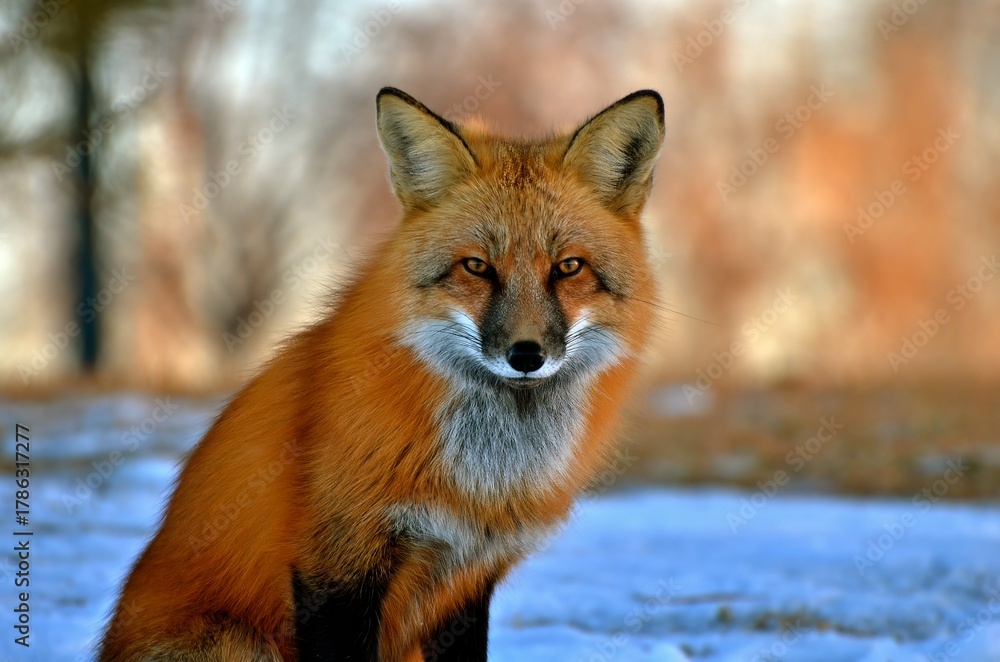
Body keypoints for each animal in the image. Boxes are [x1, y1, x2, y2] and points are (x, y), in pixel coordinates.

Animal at [99, 86, 664, 661]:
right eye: (476, 267)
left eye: (568, 267)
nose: (525, 355)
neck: (481, 479)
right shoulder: (334, 569)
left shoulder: (467, 584)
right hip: (241, 643)